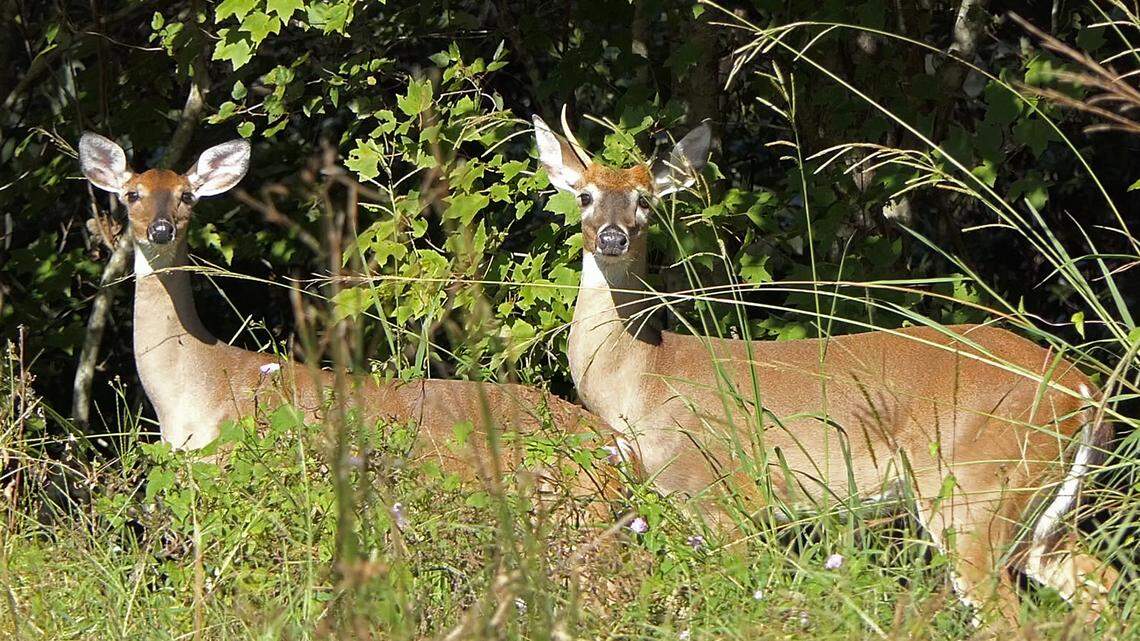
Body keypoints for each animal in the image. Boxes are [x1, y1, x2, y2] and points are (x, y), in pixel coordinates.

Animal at [532, 110, 1119, 626]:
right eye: (584, 195)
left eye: (646, 202)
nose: (612, 237)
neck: (644, 374)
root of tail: (1082, 388)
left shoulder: (723, 492)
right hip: (1040, 510)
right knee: (1099, 587)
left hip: (975, 490)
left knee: (1009, 613)